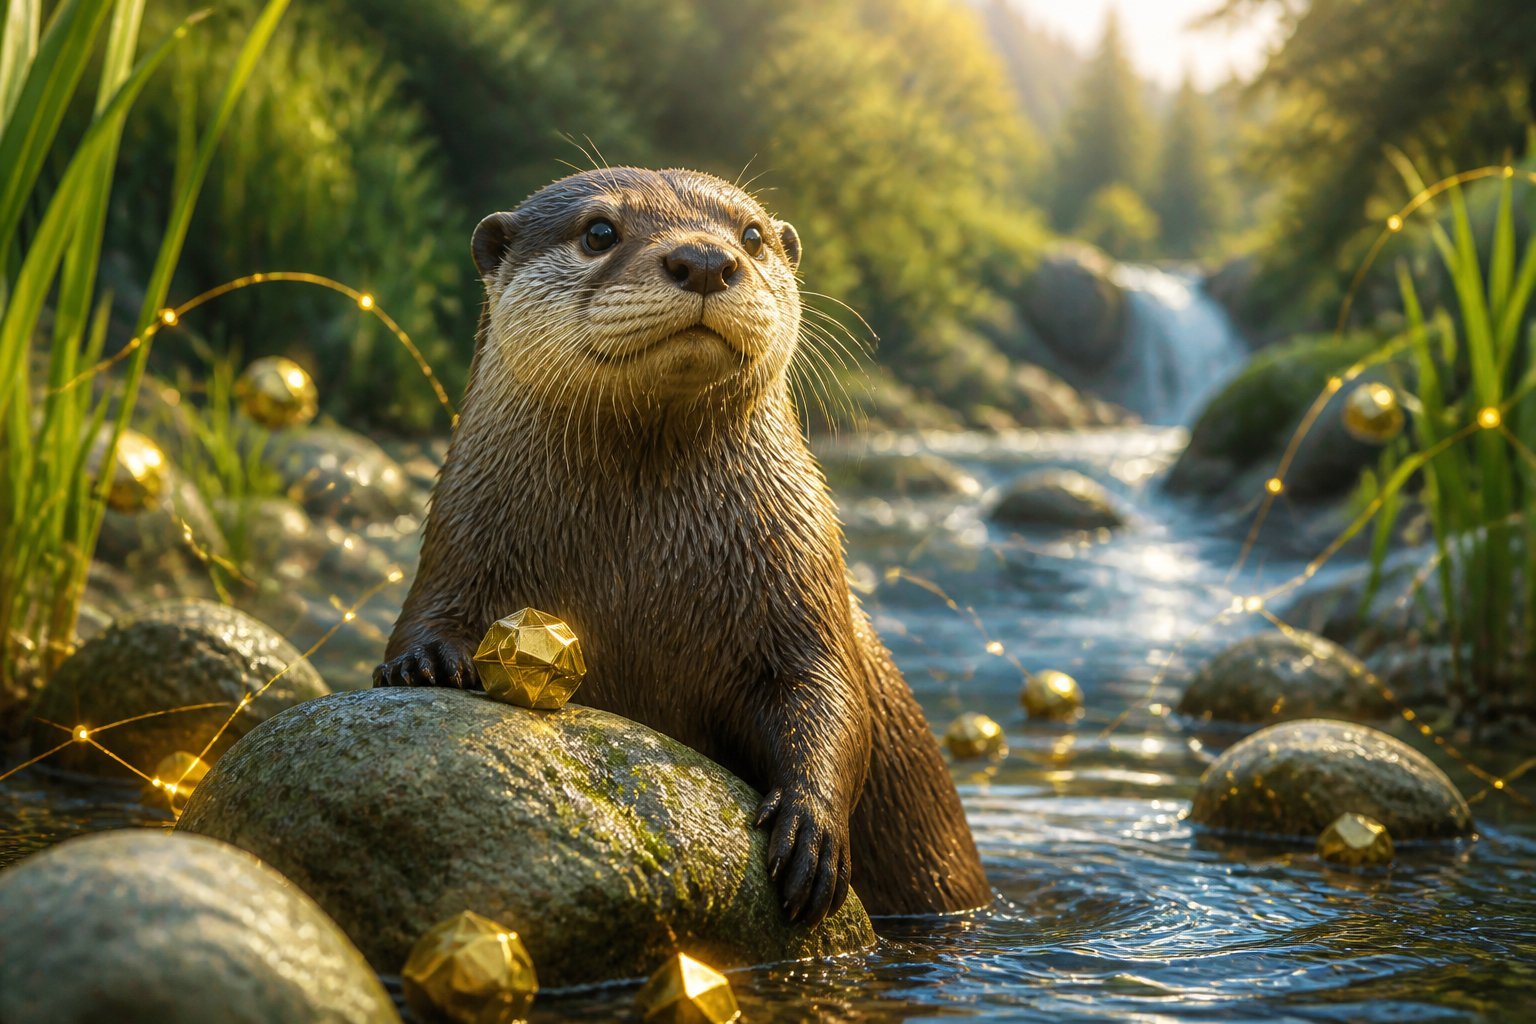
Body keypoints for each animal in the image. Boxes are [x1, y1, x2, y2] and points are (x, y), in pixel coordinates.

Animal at [376, 167, 990, 925]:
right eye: (598, 231)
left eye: (751, 235)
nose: (704, 259)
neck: (636, 569)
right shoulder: (455, 541)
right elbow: (418, 620)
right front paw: (428, 660)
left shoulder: (803, 589)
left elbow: (833, 698)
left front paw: (810, 829)